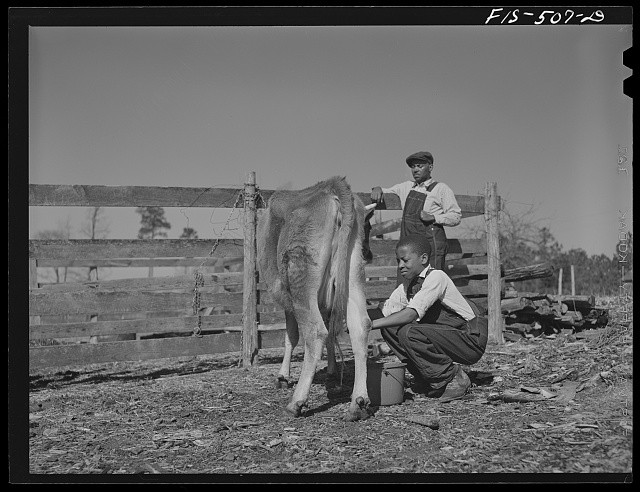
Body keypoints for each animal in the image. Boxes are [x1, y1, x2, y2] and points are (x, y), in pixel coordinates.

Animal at [257, 176, 373, 422]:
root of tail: (330, 187)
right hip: (352, 274)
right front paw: (331, 370)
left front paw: (283, 376)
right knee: (360, 326)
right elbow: (332, 333)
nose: (370, 252)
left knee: (315, 331)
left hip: (300, 280)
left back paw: (296, 402)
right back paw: (358, 403)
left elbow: (291, 336)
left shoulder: (287, 298)